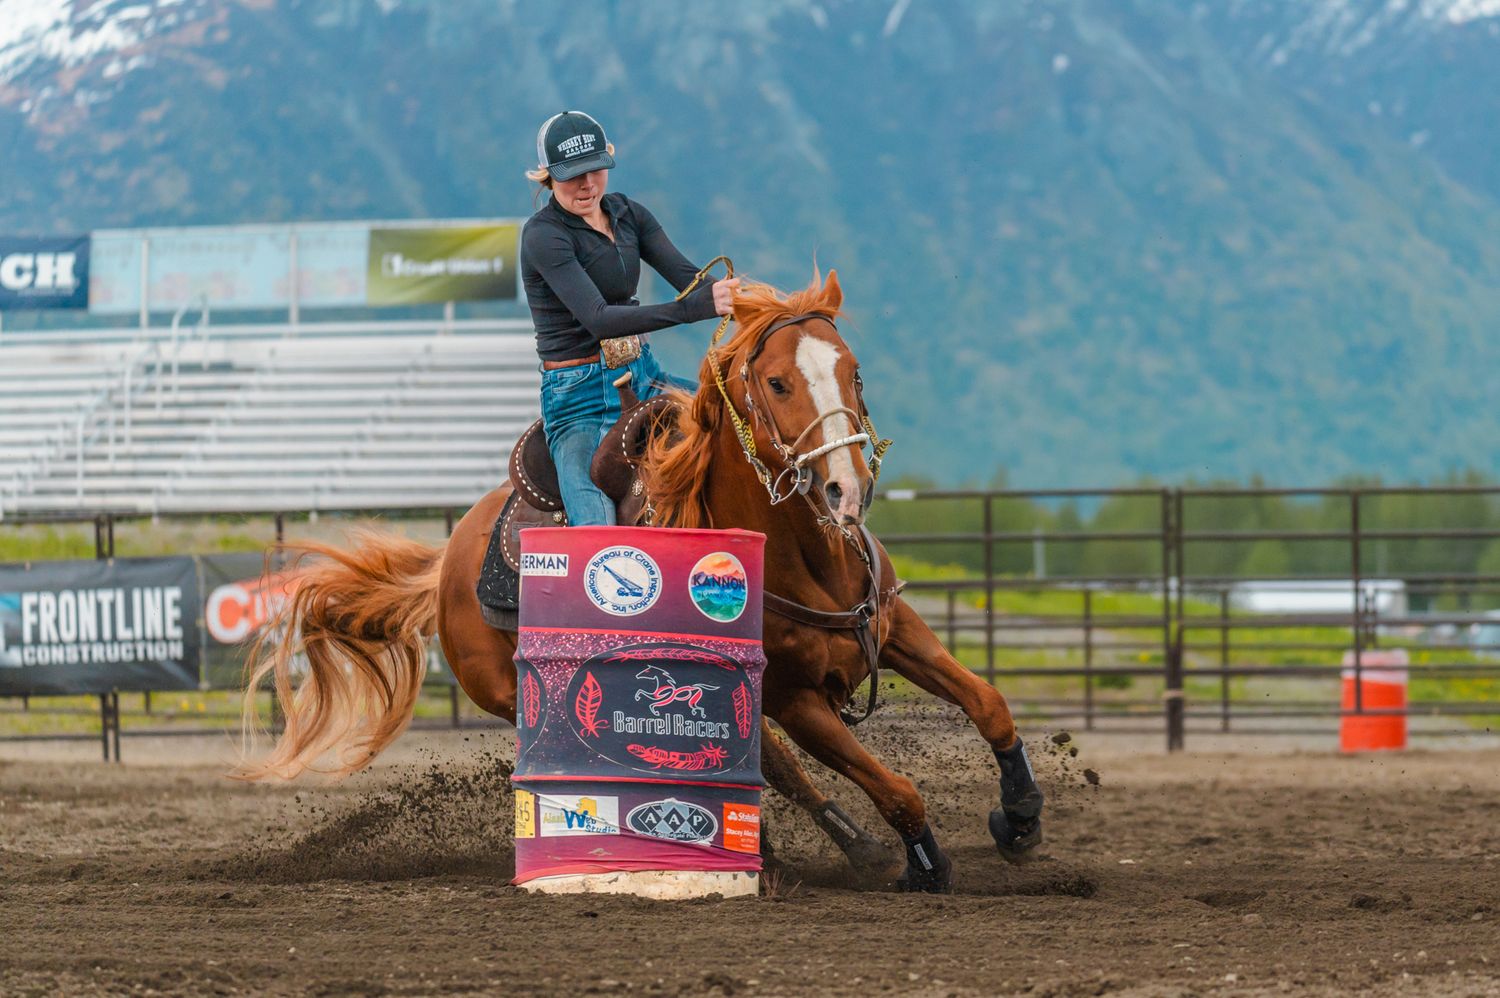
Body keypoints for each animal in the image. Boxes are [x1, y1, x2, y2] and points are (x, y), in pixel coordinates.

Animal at [235, 268, 1044, 892]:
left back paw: (839, 843)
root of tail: (448, 558)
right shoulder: (794, 694)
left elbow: (989, 702)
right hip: (519, 693)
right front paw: (926, 861)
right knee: (767, 763)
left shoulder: (894, 626)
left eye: (853, 370)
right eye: (778, 381)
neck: (808, 560)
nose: (847, 489)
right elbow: (893, 784)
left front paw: (1020, 816)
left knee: (768, 761)